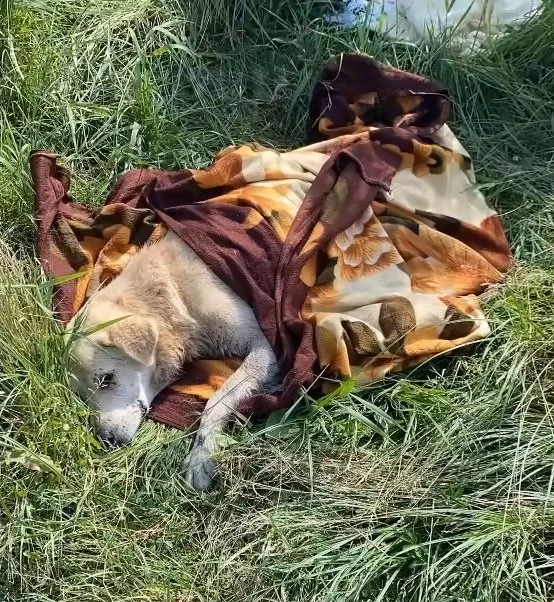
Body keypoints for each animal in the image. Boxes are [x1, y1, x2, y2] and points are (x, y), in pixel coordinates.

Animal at [67, 232, 280, 490]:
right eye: (82, 396)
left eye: (106, 380)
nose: (106, 441)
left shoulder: (264, 346)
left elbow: (218, 399)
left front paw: (201, 456)